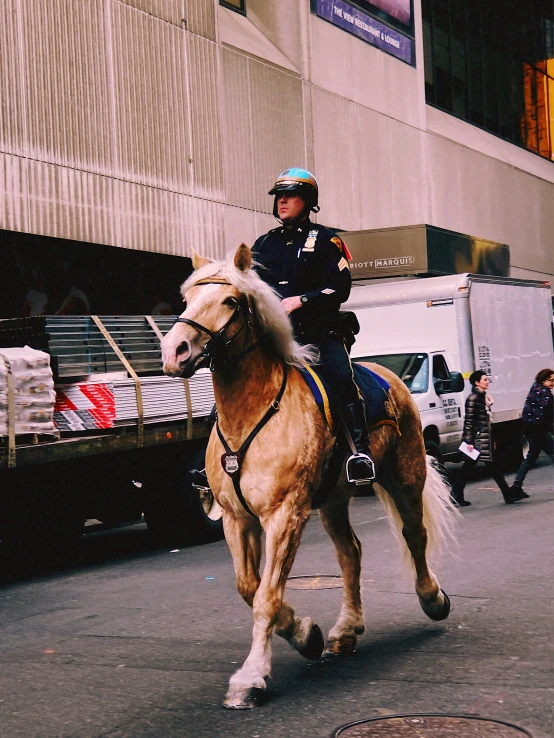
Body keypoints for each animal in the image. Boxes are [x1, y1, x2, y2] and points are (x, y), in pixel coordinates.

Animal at [162, 244, 454, 712]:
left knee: (414, 535)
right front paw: (306, 635)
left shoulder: (285, 515)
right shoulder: (236, 520)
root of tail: (390, 375)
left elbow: (266, 596)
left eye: (230, 301)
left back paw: (432, 599)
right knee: (350, 552)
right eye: (187, 300)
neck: (251, 414)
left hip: (405, 478)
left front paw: (251, 677)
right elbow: (249, 587)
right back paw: (346, 630)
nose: (175, 351)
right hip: (334, 500)